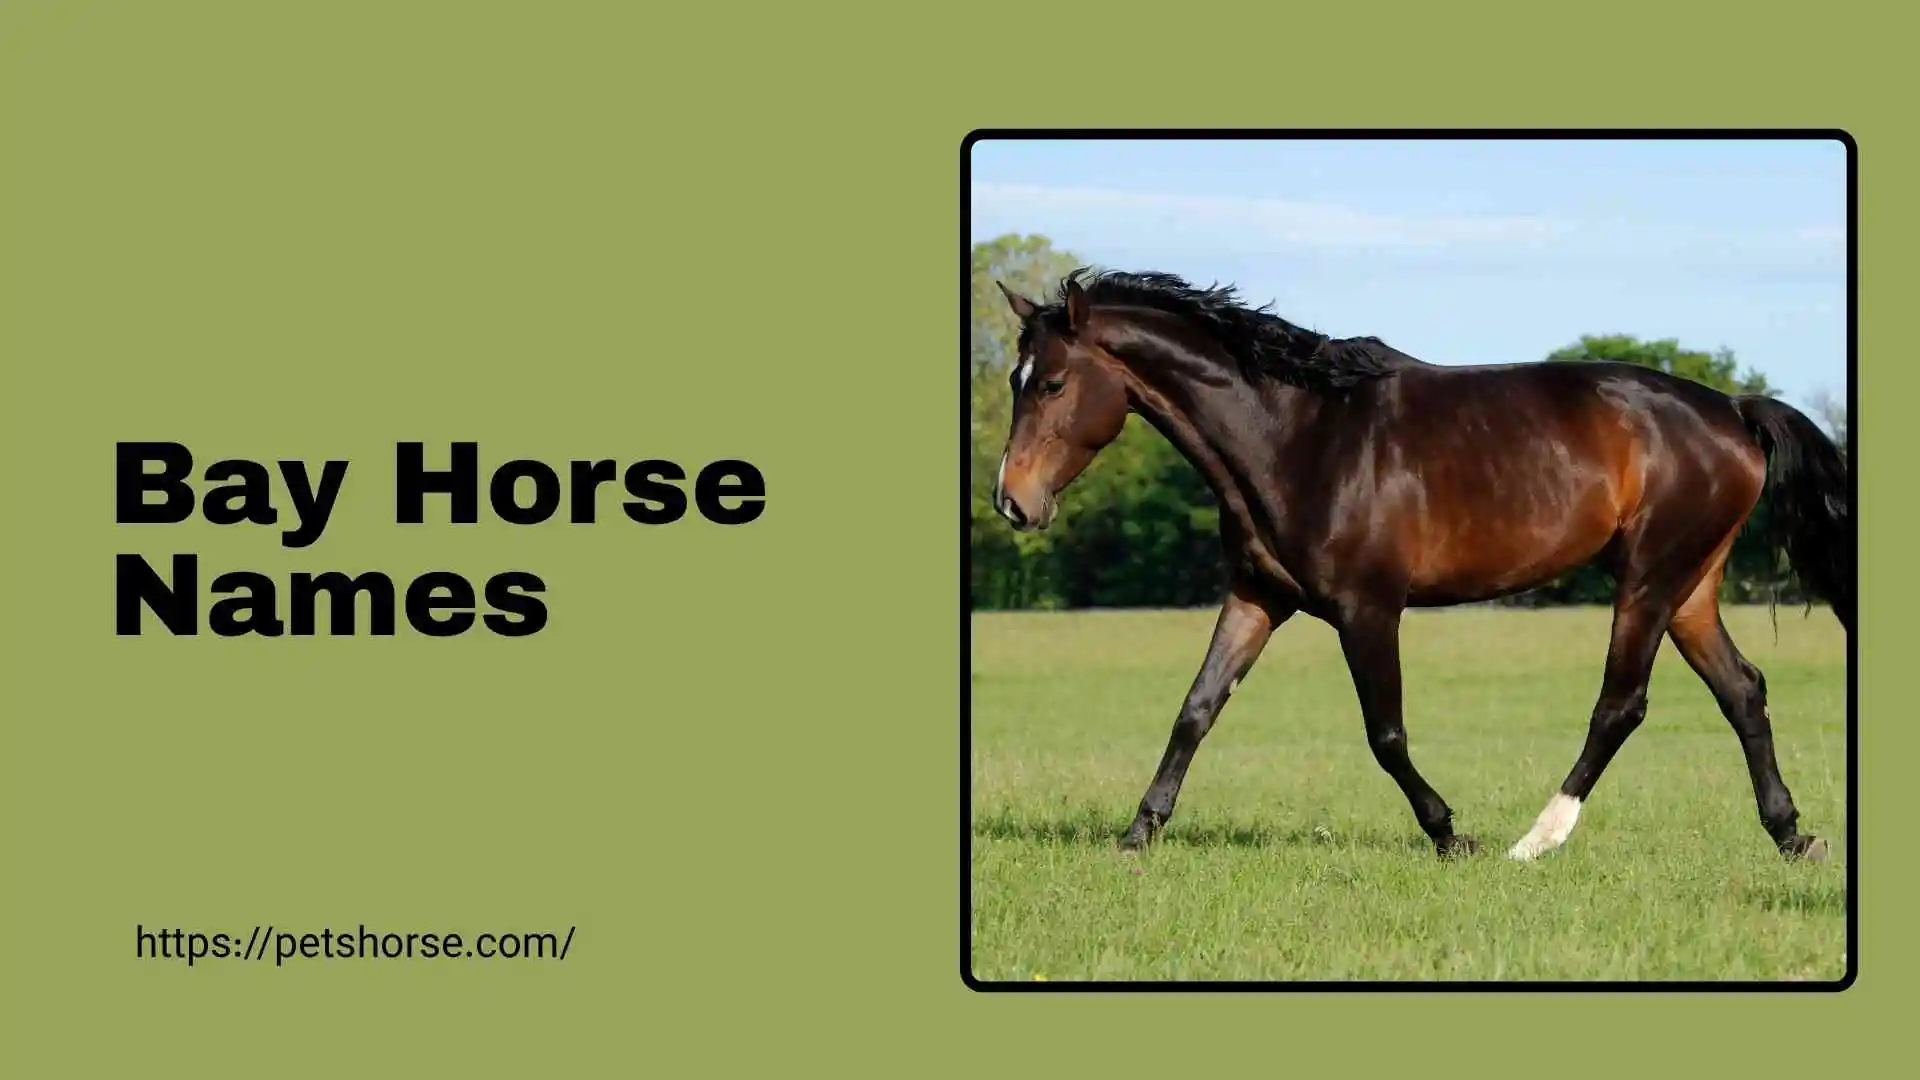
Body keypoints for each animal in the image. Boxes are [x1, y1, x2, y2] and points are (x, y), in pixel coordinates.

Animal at [987, 268, 1851, 862]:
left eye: (1053, 382)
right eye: (1015, 379)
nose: (1012, 502)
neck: (1298, 436)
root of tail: (1732, 410)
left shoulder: (1367, 609)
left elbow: (1386, 733)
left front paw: (1449, 834)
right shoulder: (1257, 597)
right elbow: (1196, 710)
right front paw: (1139, 832)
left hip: (1647, 580)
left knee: (1621, 705)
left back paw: (1535, 840)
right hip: (1689, 586)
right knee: (1742, 690)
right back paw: (1792, 835)